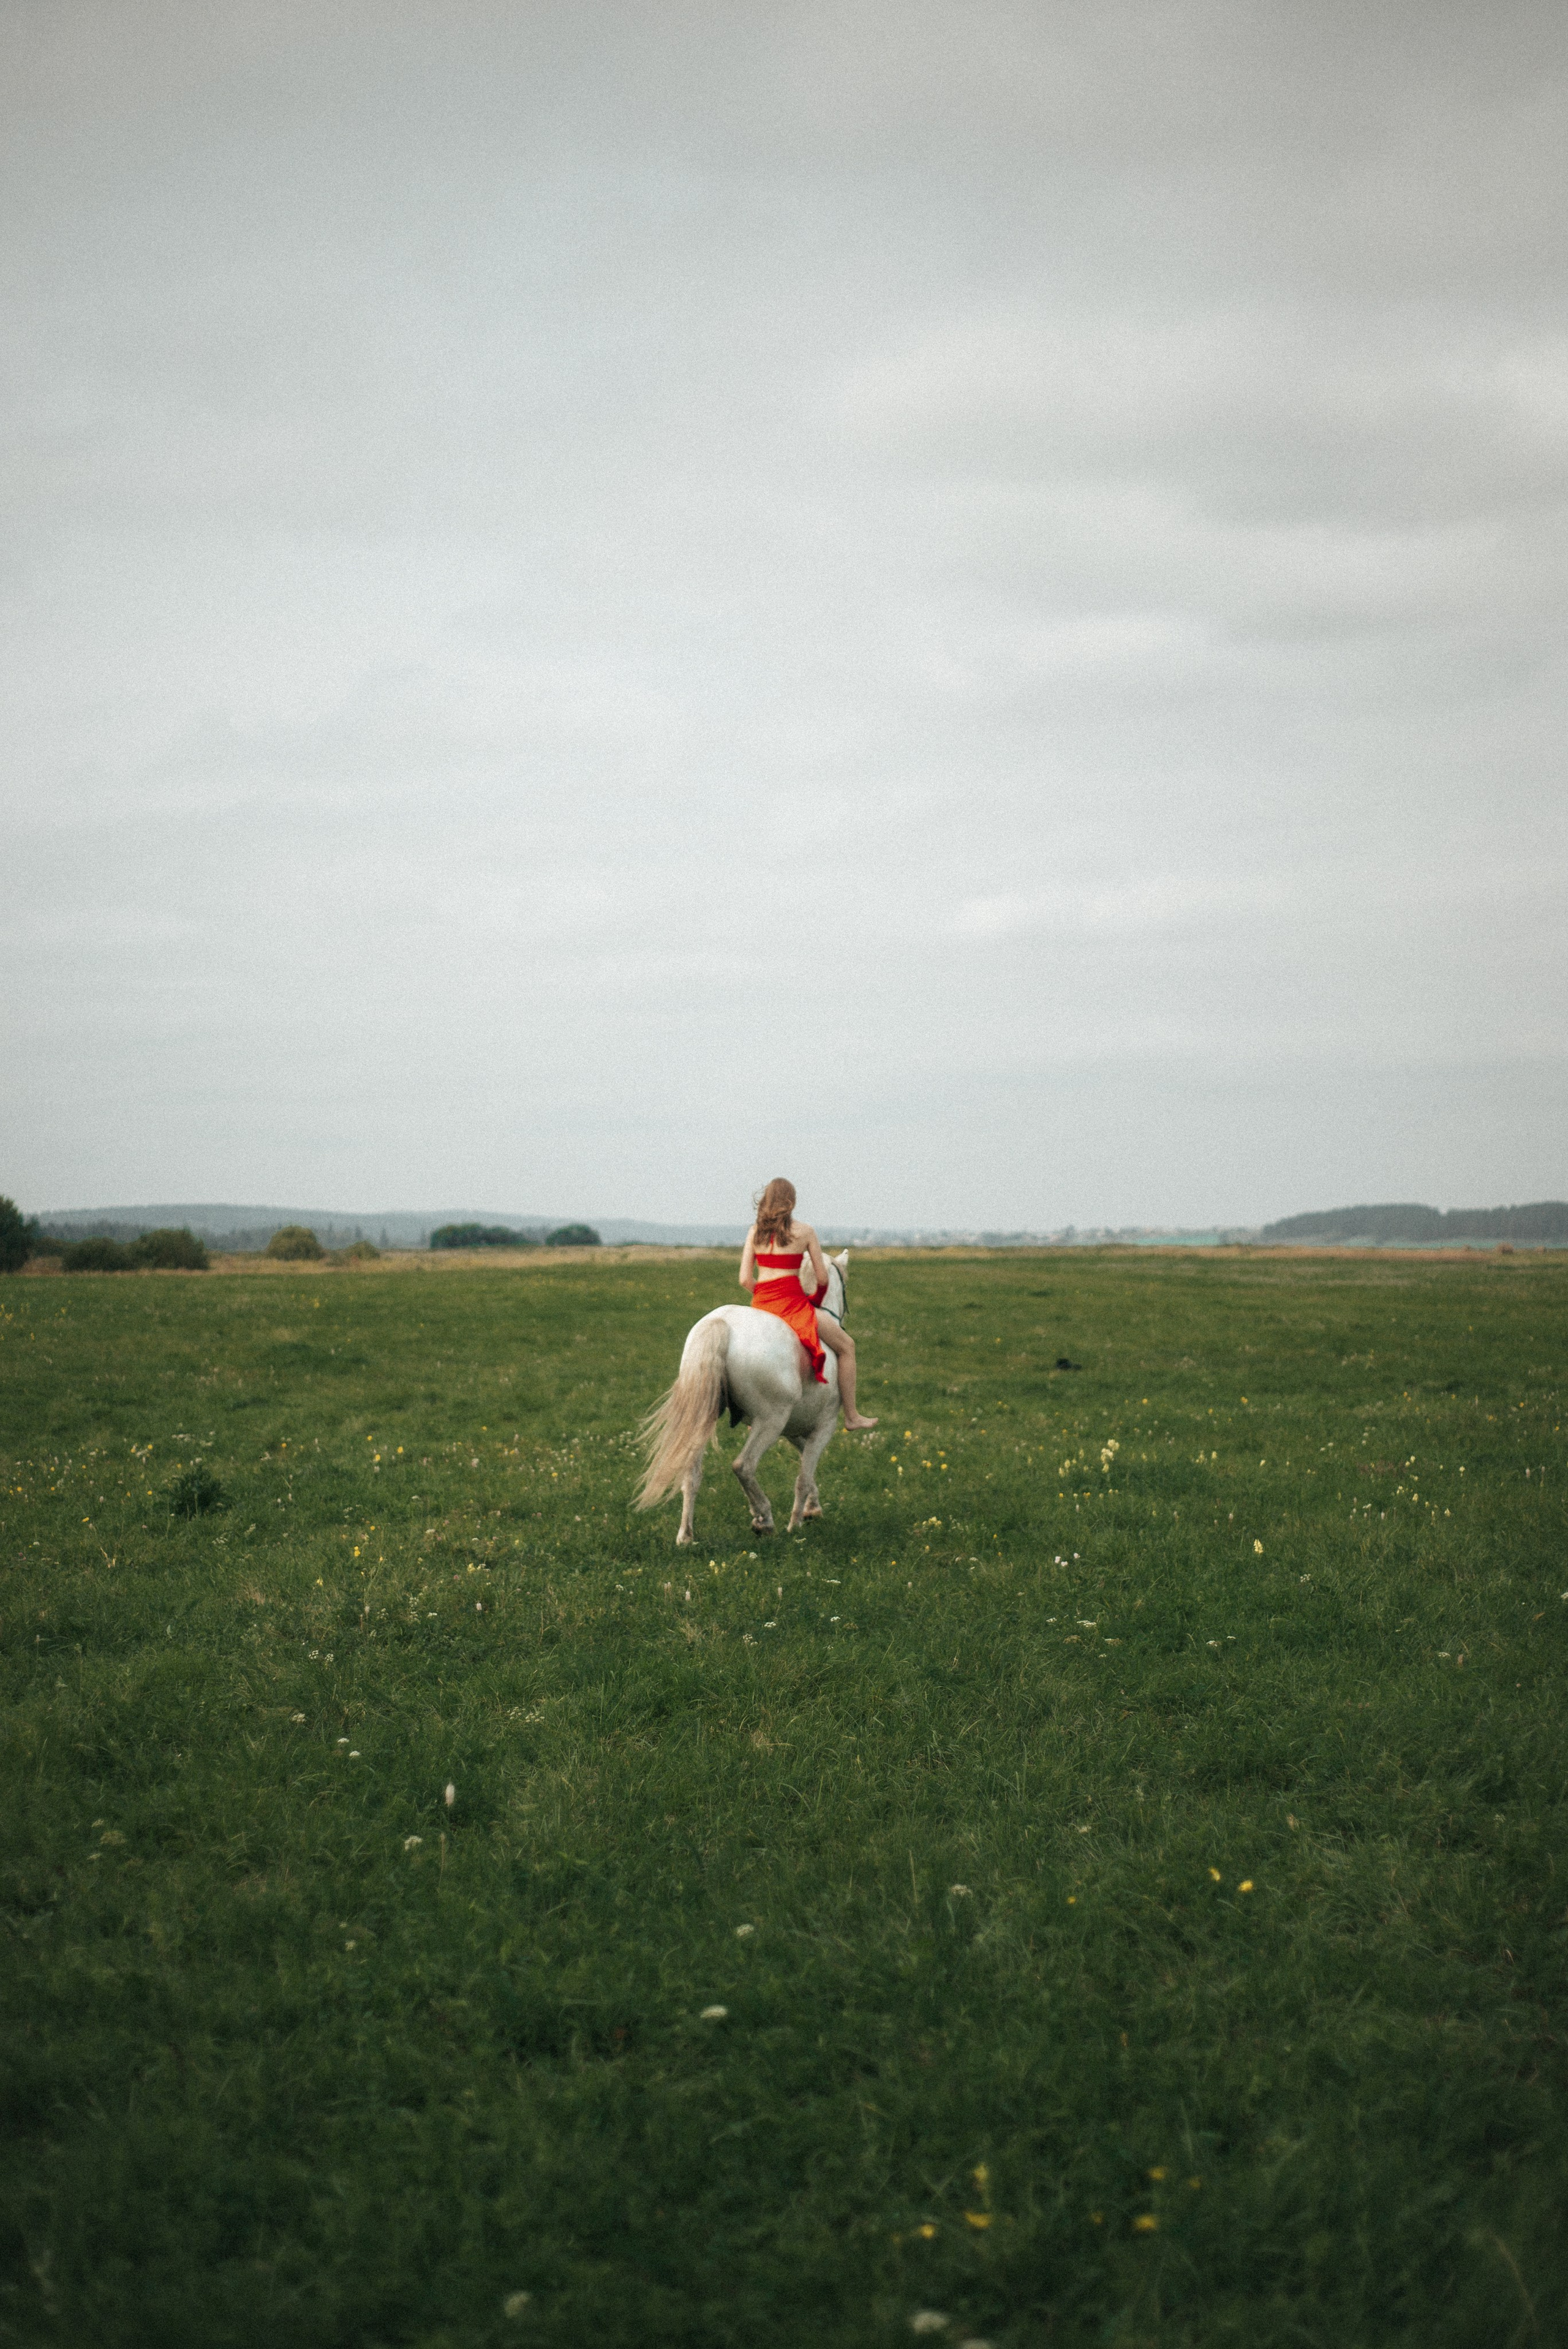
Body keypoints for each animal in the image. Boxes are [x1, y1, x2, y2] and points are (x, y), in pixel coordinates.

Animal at [635, 1252, 851, 1545]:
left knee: (691, 1474)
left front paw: (812, 1509)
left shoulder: (793, 1429)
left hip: (707, 1418)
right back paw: (764, 1519)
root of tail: (720, 1324)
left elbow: (806, 1464)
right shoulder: (823, 1427)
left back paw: (686, 1536)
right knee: (743, 1466)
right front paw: (796, 1524)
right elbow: (805, 1474)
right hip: (770, 1422)